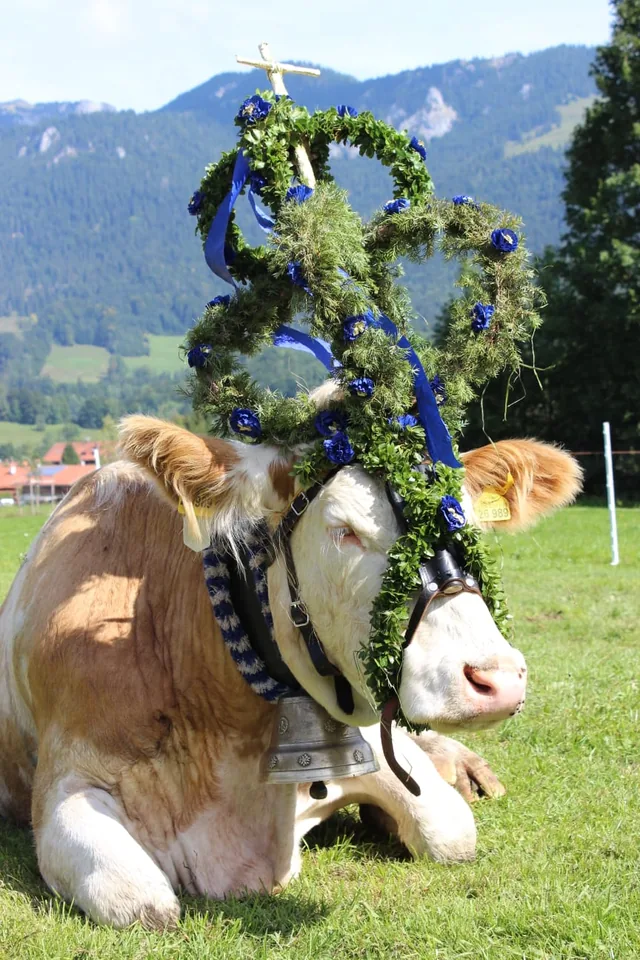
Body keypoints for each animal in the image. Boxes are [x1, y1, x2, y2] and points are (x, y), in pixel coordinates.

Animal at [0, 412, 581, 928]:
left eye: (469, 529)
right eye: (344, 531)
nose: (497, 679)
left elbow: (451, 831)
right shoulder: (66, 783)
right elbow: (145, 905)